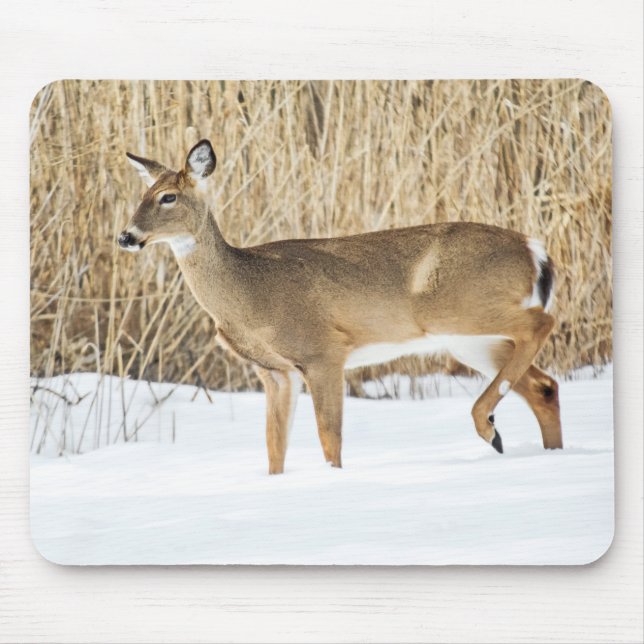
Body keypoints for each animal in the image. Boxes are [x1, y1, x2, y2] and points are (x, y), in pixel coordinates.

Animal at [119, 139, 563, 474]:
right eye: (141, 195)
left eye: (168, 197)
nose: (126, 236)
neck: (249, 292)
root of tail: (534, 250)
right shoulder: (275, 372)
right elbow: (274, 449)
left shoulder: (323, 352)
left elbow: (328, 439)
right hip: (467, 338)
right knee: (544, 385)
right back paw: (541, 448)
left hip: (459, 309)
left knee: (543, 323)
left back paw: (488, 426)